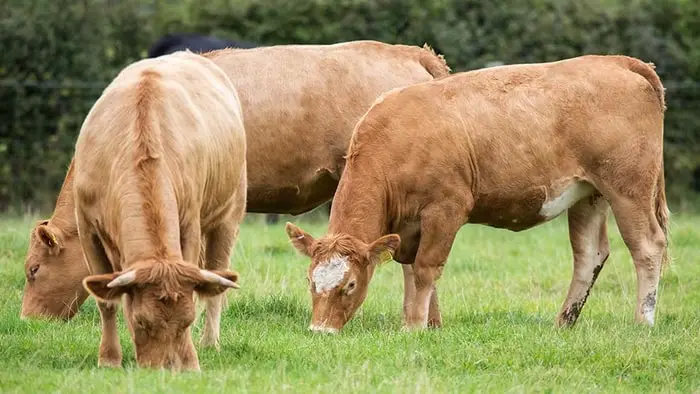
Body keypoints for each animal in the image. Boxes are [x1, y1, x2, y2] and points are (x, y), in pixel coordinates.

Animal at [74, 50, 246, 370]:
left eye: (186, 322)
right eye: (141, 322)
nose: (165, 370)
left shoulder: (189, 223)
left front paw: (190, 360)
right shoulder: (87, 228)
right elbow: (106, 301)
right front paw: (109, 358)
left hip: (228, 215)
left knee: (216, 282)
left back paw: (210, 343)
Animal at [286, 54, 672, 332]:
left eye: (350, 285)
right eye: (309, 281)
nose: (320, 330)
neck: (395, 139)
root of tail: (617, 61)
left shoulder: (446, 209)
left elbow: (425, 268)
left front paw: (414, 327)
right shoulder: (408, 227)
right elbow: (410, 269)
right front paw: (424, 322)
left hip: (628, 188)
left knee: (647, 246)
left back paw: (643, 322)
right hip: (589, 194)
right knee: (589, 255)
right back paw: (564, 322)